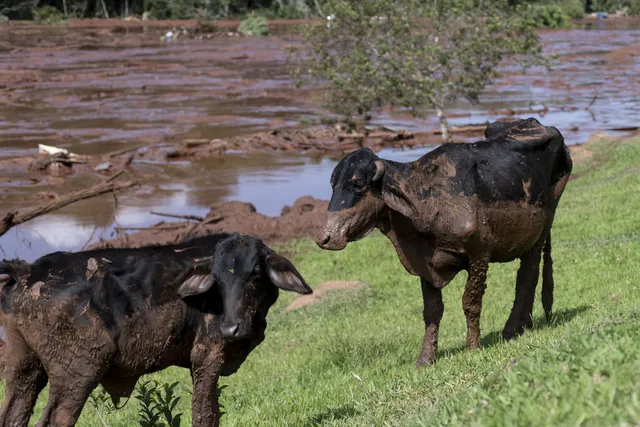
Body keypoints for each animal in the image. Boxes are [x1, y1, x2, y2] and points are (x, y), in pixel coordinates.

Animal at [0, 234, 312, 427]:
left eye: (255, 272)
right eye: (217, 277)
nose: (230, 328)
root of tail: (26, 270)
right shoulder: (207, 357)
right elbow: (205, 415)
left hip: (23, 368)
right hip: (76, 374)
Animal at [318, 118, 572, 366]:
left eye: (358, 184)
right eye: (333, 184)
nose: (325, 237)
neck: (429, 200)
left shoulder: (479, 255)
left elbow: (471, 302)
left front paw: (473, 347)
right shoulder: (424, 265)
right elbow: (432, 311)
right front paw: (426, 358)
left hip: (544, 226)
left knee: (528, 275)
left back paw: (512, 329)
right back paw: (521, 326)